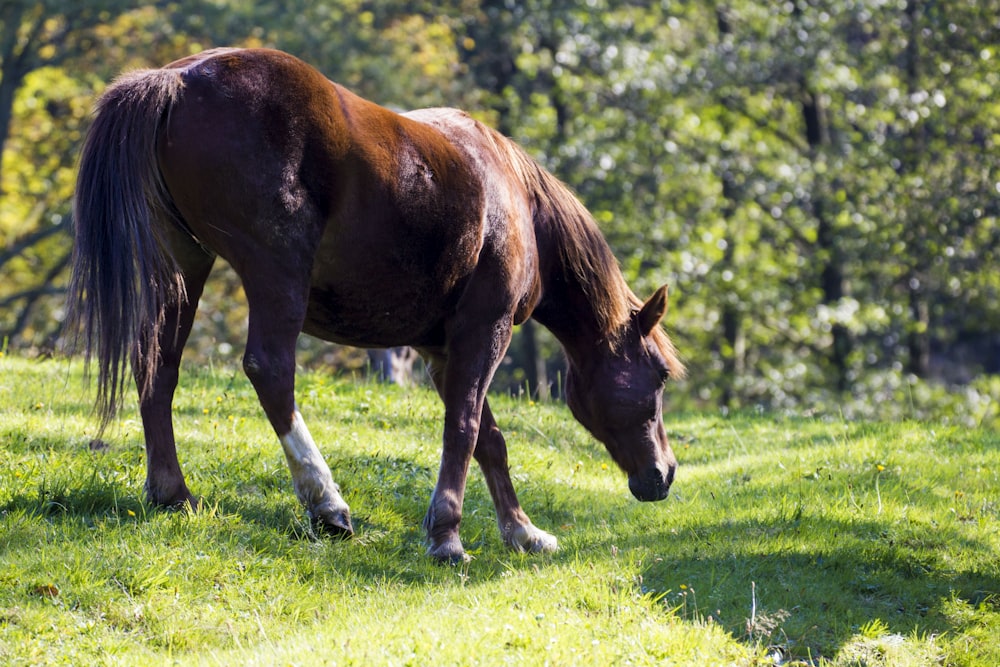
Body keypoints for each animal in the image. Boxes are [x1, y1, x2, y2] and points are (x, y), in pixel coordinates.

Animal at [68, 45, 680, 564]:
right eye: (658, 375)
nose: (666, 472)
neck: (515, 203)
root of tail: (177, 78)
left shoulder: (440, 350)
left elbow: (490, 439)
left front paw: (523, 532)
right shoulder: (486, 330)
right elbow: (464, 428)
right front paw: (447, 537)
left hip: (185, 269)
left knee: (158, 368)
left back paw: (173, 493)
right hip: (276, 273)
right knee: (270, 371)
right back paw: (326, 504)